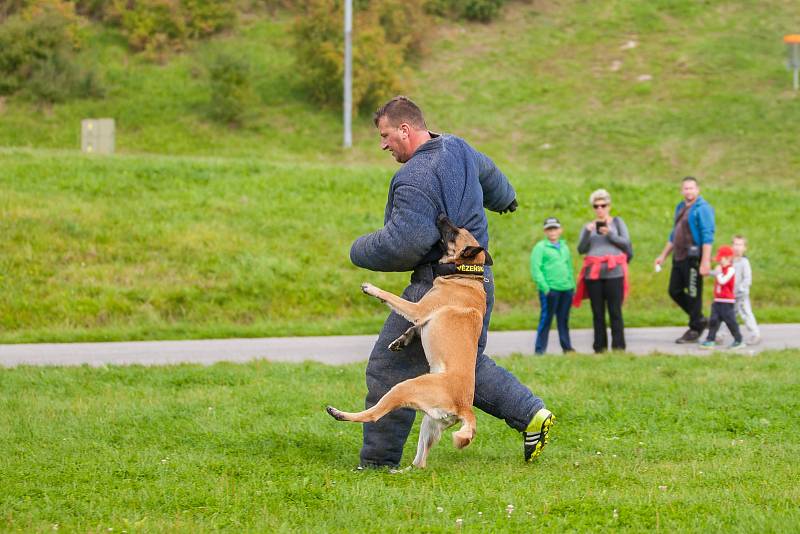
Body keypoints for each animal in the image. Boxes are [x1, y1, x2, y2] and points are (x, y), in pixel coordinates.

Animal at [326, 216, 494, 472]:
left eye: (454, 232)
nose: (442, 216)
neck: (466, 276)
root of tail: (464, 406)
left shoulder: (418, 310)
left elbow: (393, 299)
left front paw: (373, 289)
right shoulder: (421, 316)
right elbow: (412, 329)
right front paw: (401, 340)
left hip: (404, 388)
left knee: (373, 415)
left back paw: (340, 414)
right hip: (429, 424)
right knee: (420, 463)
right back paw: (398, 472)